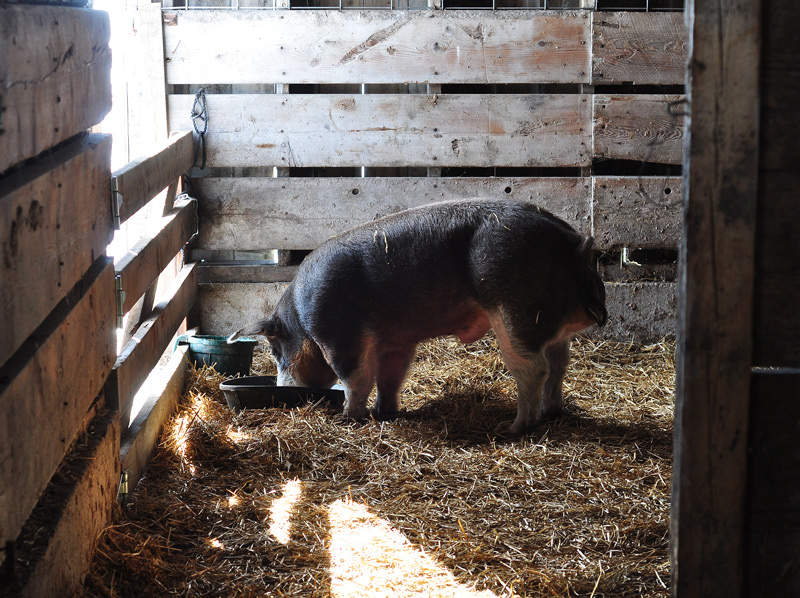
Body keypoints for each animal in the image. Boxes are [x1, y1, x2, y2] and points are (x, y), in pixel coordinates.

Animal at [229, 198, 607, 435]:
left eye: (275, 351)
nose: (283, 388)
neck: (302, 323)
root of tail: (573, 242)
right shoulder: (396, 341)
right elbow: (389, 377)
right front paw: (384, 414)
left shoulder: (339, 333)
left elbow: (356, 378)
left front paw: (349, 418)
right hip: (553, 324)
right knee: (558, 364)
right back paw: (550, 414)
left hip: (516, 311)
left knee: (532, 368)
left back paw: (514, 429)